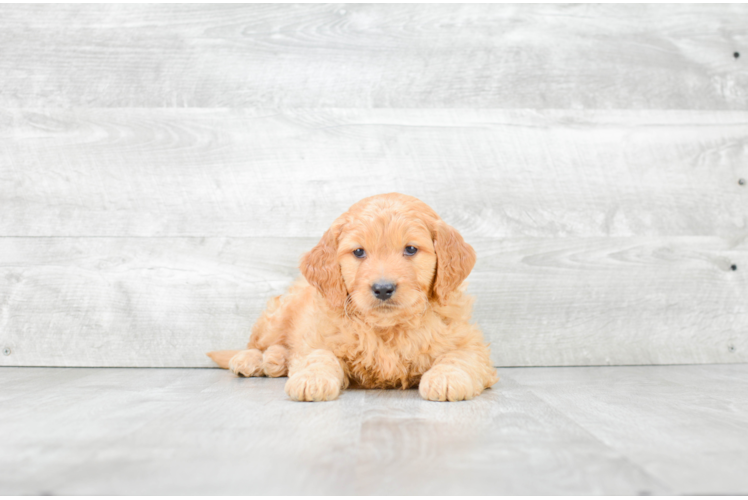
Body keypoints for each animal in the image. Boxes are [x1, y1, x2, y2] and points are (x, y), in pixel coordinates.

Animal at [206, 192, 496, 402]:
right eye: (358, 252)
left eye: (411, 249)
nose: (383, 288)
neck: (387, 329)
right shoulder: (320, 335)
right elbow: (317, 355)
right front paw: (311, 378)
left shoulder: (468, 341)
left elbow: (459, 357)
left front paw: (447, 378)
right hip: (276, 316)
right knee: (258, 343)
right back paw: (253, 359)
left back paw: (275, 360)